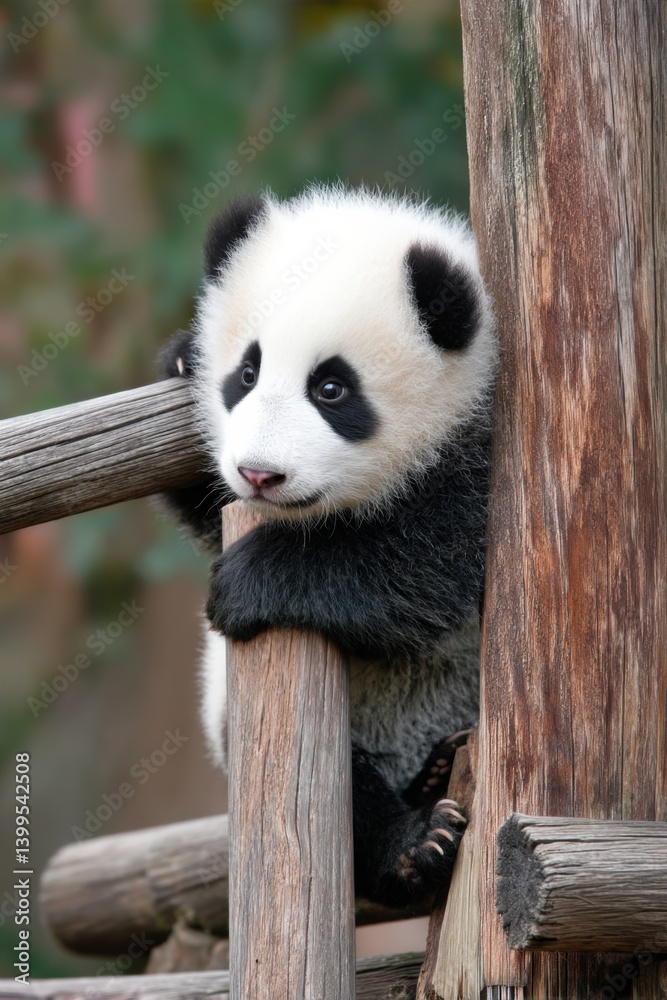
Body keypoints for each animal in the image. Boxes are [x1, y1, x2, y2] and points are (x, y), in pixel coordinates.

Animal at [158, 185, 497, 910]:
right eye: (246, 373)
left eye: (331, 388)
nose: (258, 474)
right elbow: (205, 506)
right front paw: (178, 357)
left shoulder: (485, 446)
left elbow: (422, 568)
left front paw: (248, 581)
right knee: (347, 788)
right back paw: (419, 818)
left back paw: (420, 838)